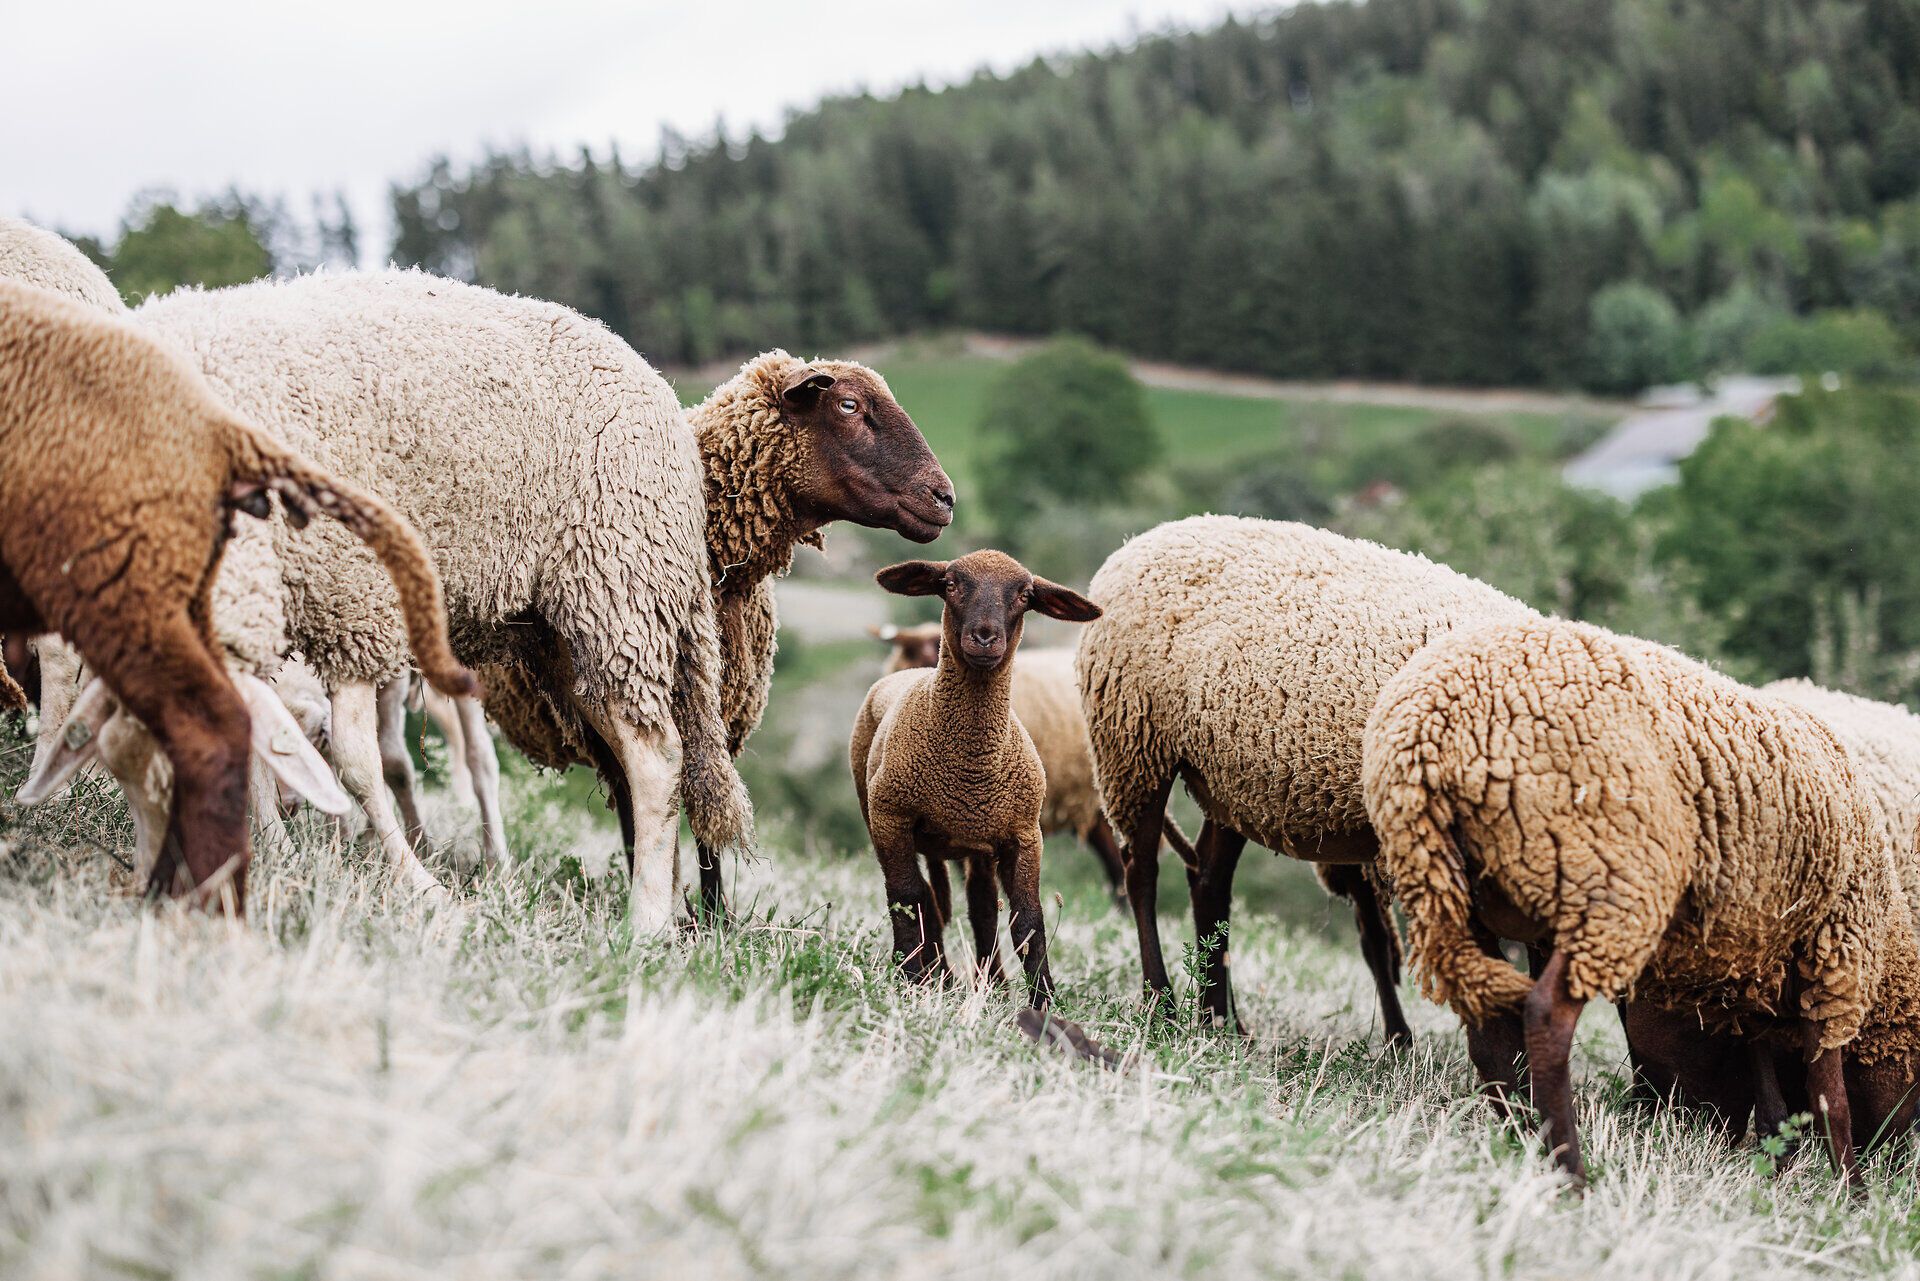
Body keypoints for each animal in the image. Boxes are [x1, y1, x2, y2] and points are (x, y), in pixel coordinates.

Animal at [128, 269, 758, 927]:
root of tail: (658, 386)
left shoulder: (351, 594)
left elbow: (358, 762)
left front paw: (419, 885)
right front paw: (269, 855)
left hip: (620, 582)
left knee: (657, 756)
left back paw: (647, 921)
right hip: (565, 628)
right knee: (629, 754)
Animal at [850, 551, 1102, 1005]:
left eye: (1025, 595)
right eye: (950, 584)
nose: (985, 637)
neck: (969, 765)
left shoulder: (1024, 834)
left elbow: (1028, 922)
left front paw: (1044, 1001)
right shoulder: (890, 817)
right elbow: (907, 897)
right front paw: (910, 978)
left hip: (978, 842)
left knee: (979, 906)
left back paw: (990, 984)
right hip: (883, 816)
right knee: (928, 899)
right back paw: (937, 975)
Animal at [1076, 514, 1537, 1036]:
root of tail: (1135, 544)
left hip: (1226, 778)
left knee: (1210, 879)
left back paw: (1220, 1023)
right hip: (1133, 742)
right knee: (1142, 873)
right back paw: (1164, 1005)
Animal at [1362, 617, 1909, 1184]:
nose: (1894, 1157)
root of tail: (1432, 729)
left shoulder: (1754, 967)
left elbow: (1770, 1083)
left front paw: (1778, 1157)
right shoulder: (1835, 953)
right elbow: (1830, 1098)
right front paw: (1849, 1190)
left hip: (1452, 896)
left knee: (1492, 1039)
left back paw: (1522, 1142)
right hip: (1609, 885)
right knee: (1546, 1016)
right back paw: (1572, 1174)